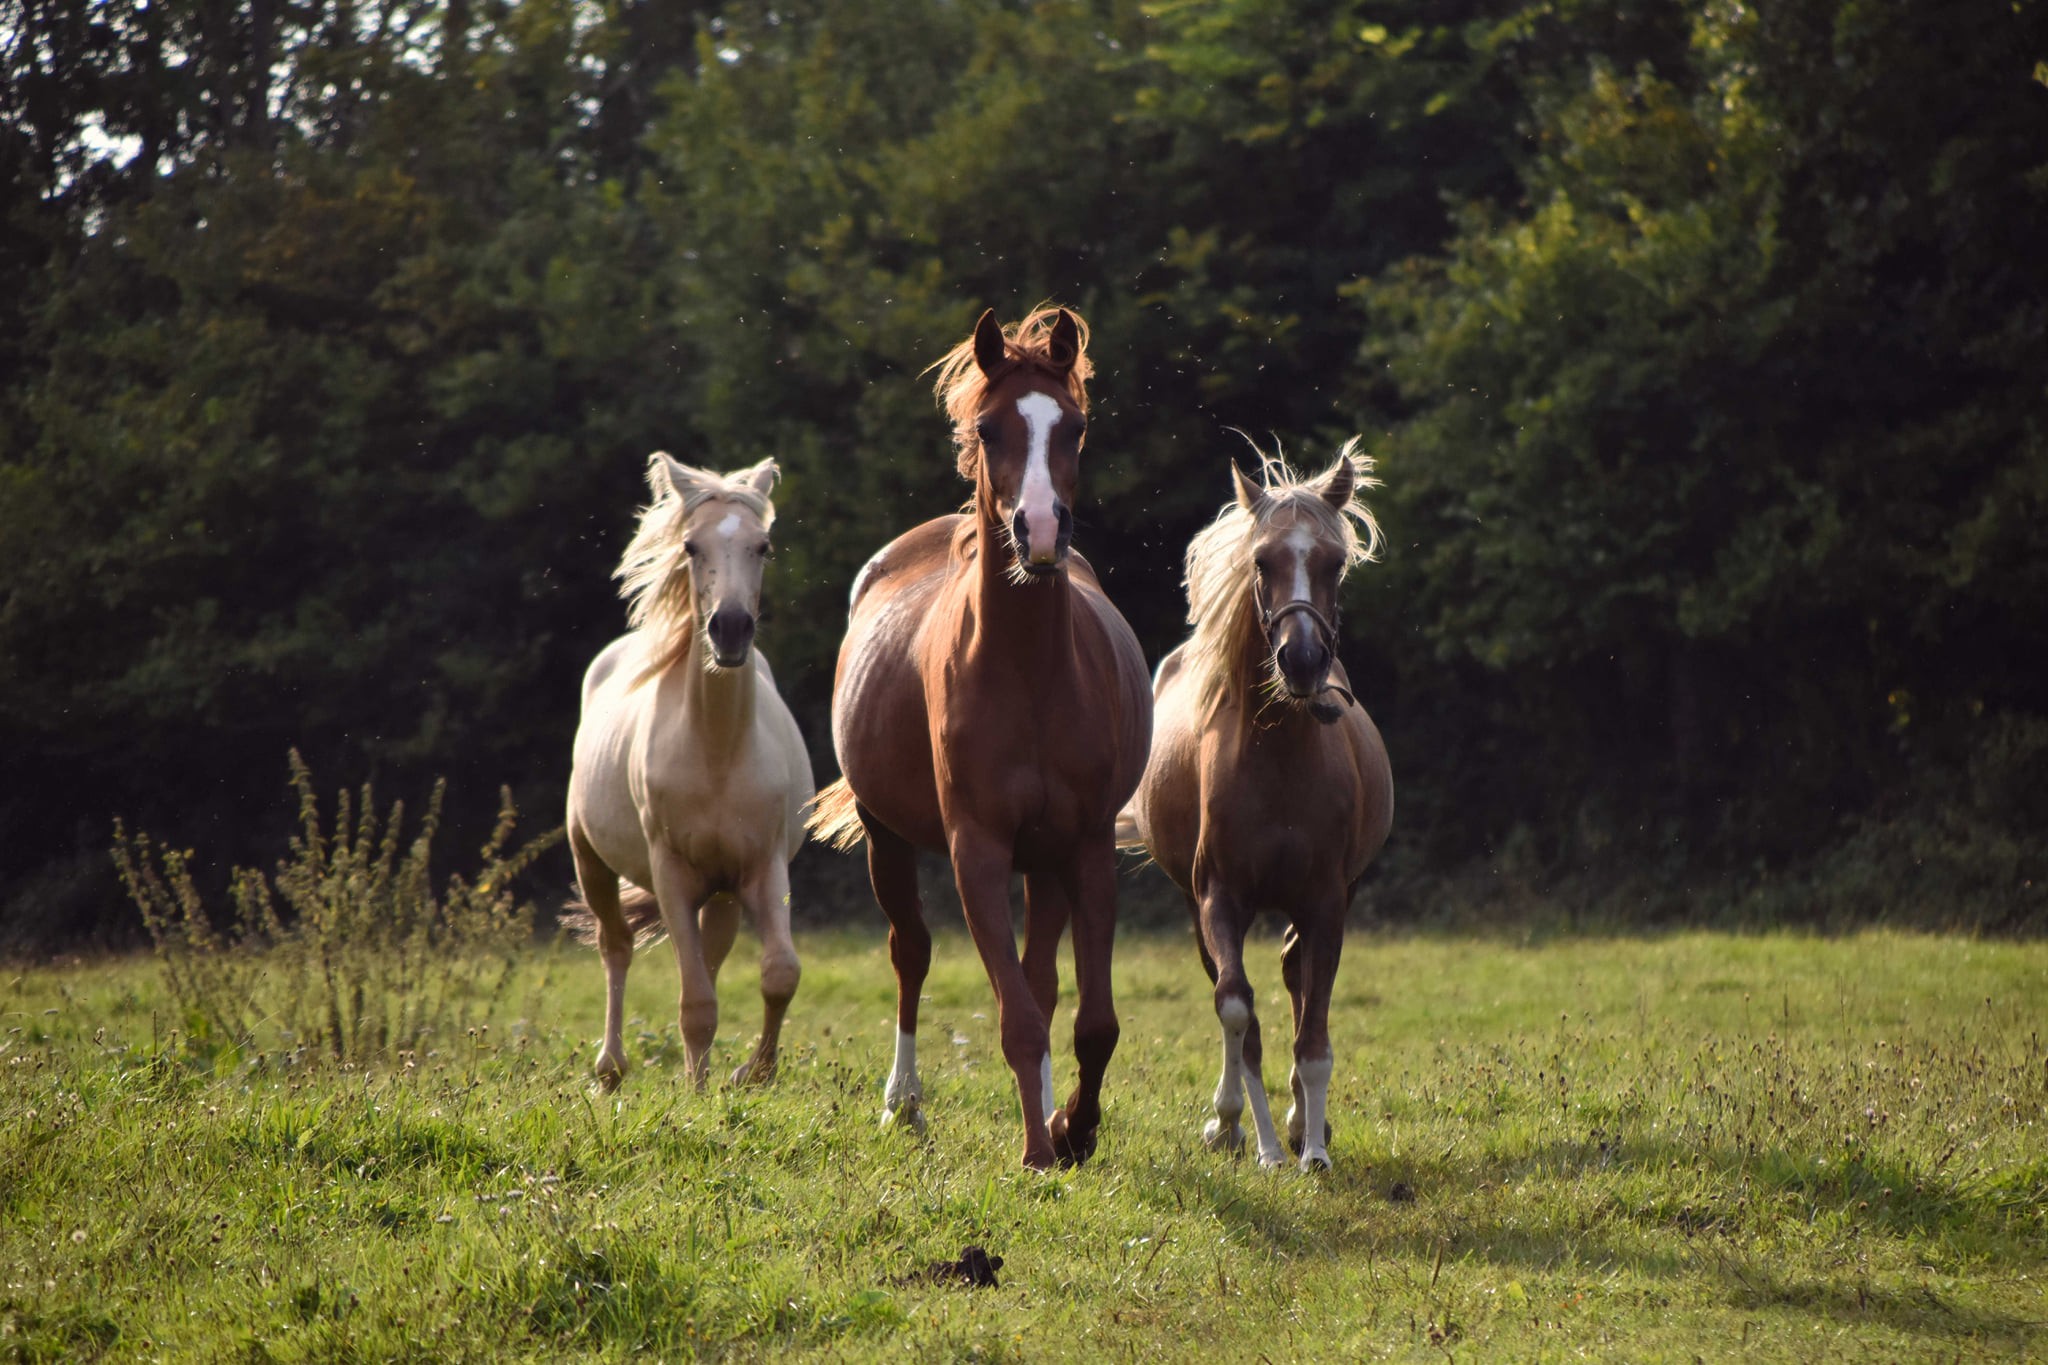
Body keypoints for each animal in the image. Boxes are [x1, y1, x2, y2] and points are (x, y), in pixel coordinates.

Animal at [565, 454, 819, 1096]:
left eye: (764, 546)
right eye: (689, 545)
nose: (729, 629)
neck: (716, 753)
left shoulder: (761, 867)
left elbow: (779, 973)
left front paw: (751, 1073)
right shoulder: (672, 875)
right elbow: (695, 1000)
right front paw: (699, 1091)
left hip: (723, 892)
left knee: (711, 955)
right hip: (591, 859)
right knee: (616, 947)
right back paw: (610, 1069)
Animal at [798, 309, 1155, 1178]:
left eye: (1076, 426)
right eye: (991, 427)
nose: (1041, 531)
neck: (1028, 671)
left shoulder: (1086, 848)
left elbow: (1089, 1018)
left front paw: (1073, 1129)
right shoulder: (978, 851)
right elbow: (1015, 1016)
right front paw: (1036, 1149)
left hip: (1047, 862)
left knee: (1039, 979)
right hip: (887, 838)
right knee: (912, 953)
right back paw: (903, 1103)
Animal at [1122, 446, 1392, 1178]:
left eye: (1334, 561)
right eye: (1263, 560)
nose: (1301, 660)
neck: (1279, 763)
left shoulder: (1327, 901)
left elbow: (1315, 1030)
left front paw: (1313, 1147)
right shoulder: (1220, 899)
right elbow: (1238, 1013)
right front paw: (1256, 1140)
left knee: (1296, 978)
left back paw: (1302, 1121)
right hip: (1196, 907)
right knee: (1228, 990)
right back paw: (1235, 1124)